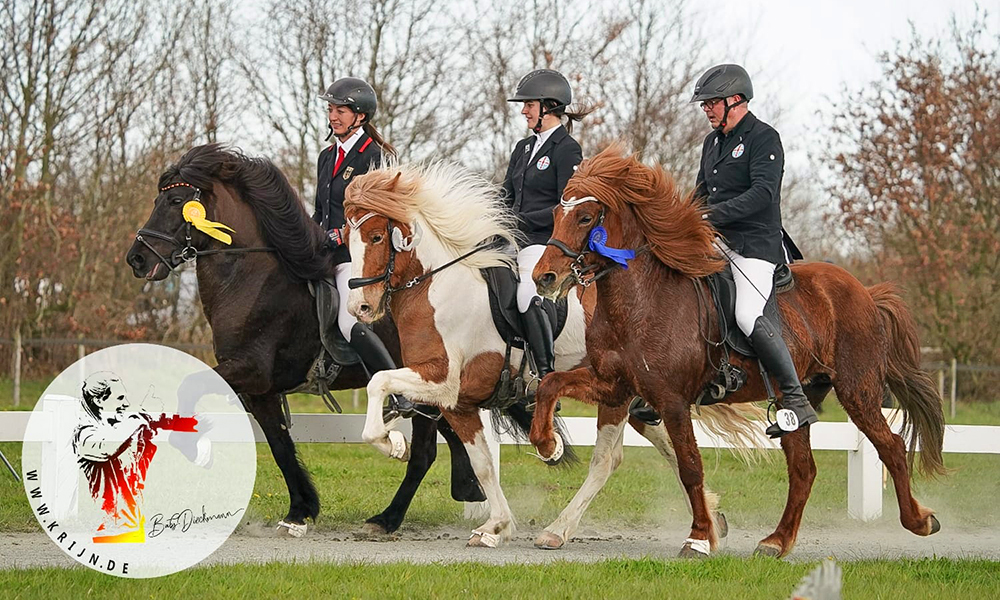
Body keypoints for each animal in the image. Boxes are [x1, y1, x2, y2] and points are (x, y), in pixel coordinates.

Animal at [126, 144, 512, 540]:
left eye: (175, 200)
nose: (136, 259)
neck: (251, 279)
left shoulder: (250, 370)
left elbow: (190, 384)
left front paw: (195, 449)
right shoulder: (262, 390)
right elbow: (280, 446)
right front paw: (299, 511)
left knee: (423, 453)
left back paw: (387, 518)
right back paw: (467, 489)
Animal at [340, 159, 752, 548]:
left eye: (376, 236)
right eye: (348, 239)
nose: (360, 307)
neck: (439, 287)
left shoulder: (441, 380)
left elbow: (379, 384)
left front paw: (393, 443)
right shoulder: (458, 402)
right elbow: (483, 464)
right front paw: (496, 525)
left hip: (623, 391)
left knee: (614, 458)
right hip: (634, 392)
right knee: (666, 445)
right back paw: (712, 518)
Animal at [532, 144, 944, 556]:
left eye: (586, 217)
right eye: (554, 215)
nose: (544, 278)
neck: (640, 301)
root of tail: (866, 293)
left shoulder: (672, 400)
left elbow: (690, 465)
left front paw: (699, 537)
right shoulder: (614, 386)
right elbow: (554, 390)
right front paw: (548, 446)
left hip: (858, 390)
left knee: (890, 446)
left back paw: (919, 521)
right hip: (797, 398)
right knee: (804, 468)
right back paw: (777, 541)